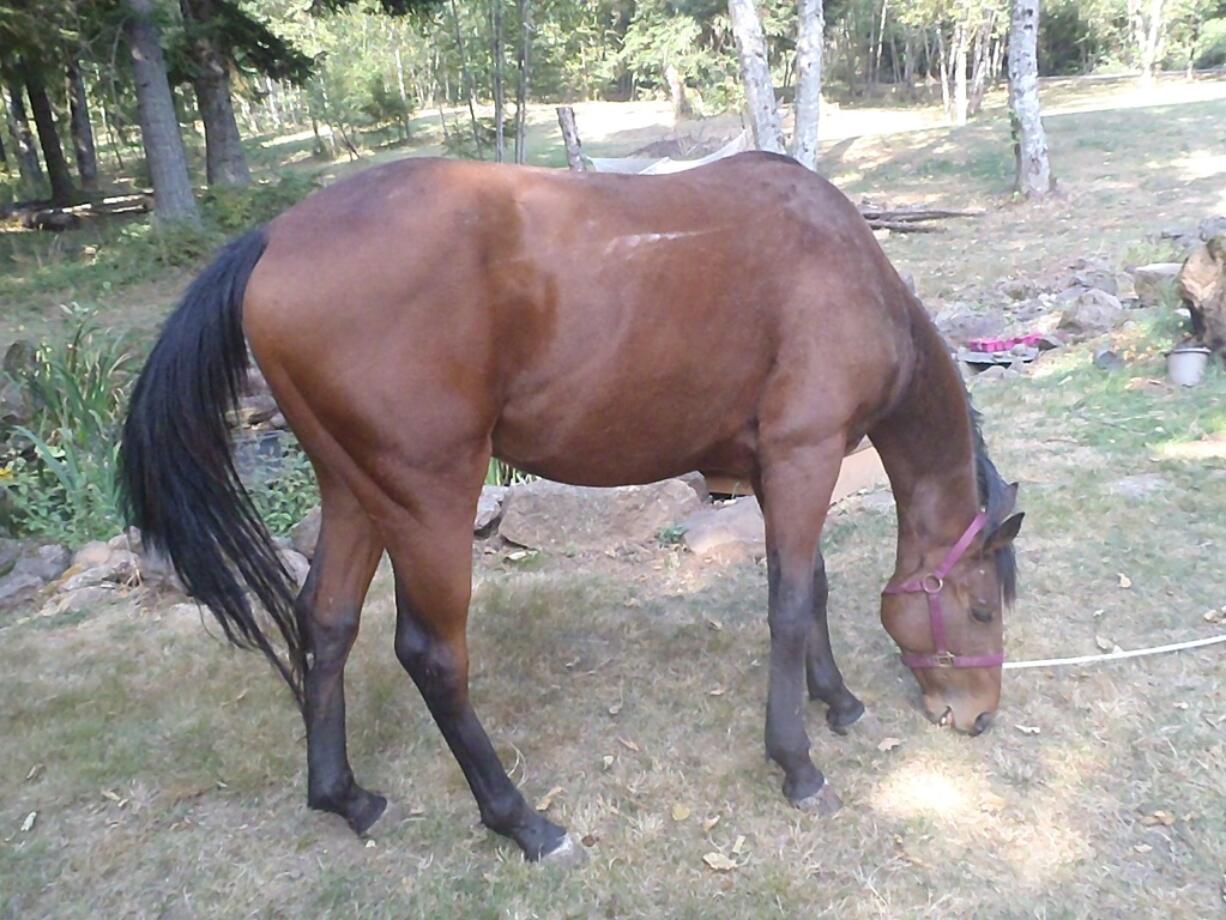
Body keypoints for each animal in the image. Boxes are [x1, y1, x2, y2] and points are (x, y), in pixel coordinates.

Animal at [119, 151, 1020, 863]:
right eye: (981, 608)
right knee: (431, 655)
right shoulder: (806, 456)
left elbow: (814, 590)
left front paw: (838, 702)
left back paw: (345, 797)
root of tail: (275, 237)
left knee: (327, 619)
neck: (846, 269)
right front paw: (797, 763)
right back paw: (523, 822)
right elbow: (792, 605)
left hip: (353, 492)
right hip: (427, 499)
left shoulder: (775, 467)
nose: (979, 718)